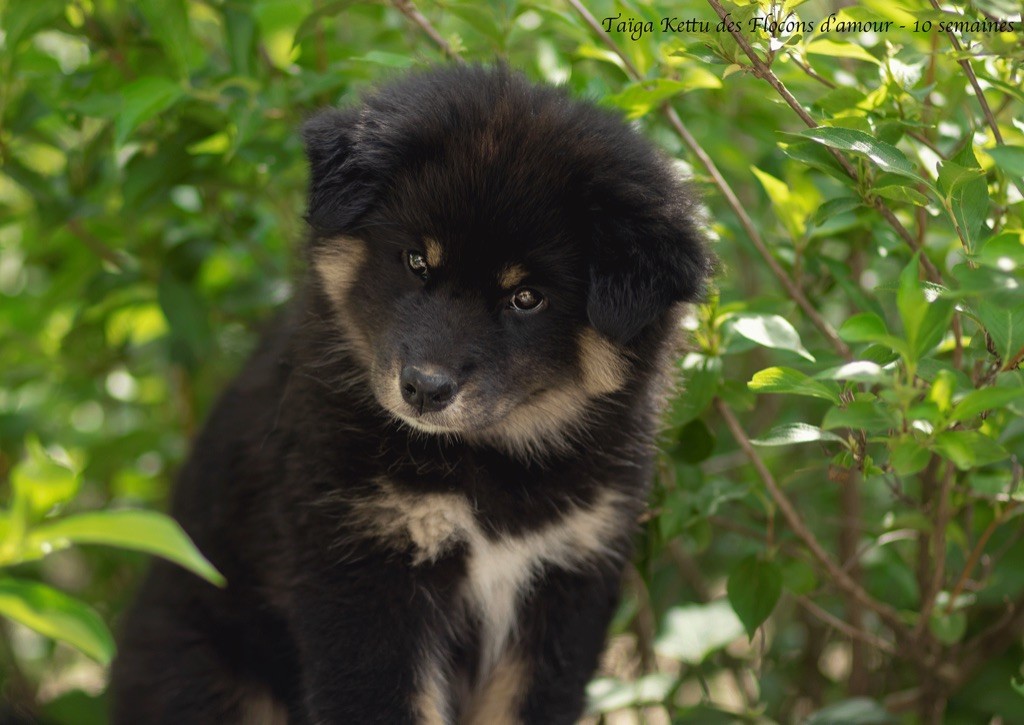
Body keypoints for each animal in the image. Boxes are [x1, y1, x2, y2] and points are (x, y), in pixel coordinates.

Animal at [110, 65, 704, 720]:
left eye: (527, 297)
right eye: (417, 261)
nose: (423, 388)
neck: (489, 467)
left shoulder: (568, 579)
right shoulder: (367, 573)